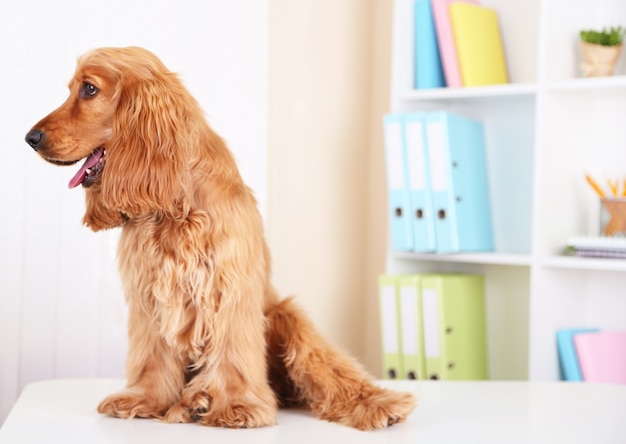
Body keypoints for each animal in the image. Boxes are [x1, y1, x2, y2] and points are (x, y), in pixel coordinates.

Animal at [24, 46, 414, 428]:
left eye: (89, 89)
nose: (30, 138)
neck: (175, 206)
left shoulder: (228, 286)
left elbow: (232, 353)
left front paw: (236, 405)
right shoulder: (148, 294)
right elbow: (152, 355)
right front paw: (145, 398)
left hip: (287, 316)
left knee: (328, 369)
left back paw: (381, 403)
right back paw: (192, 401)